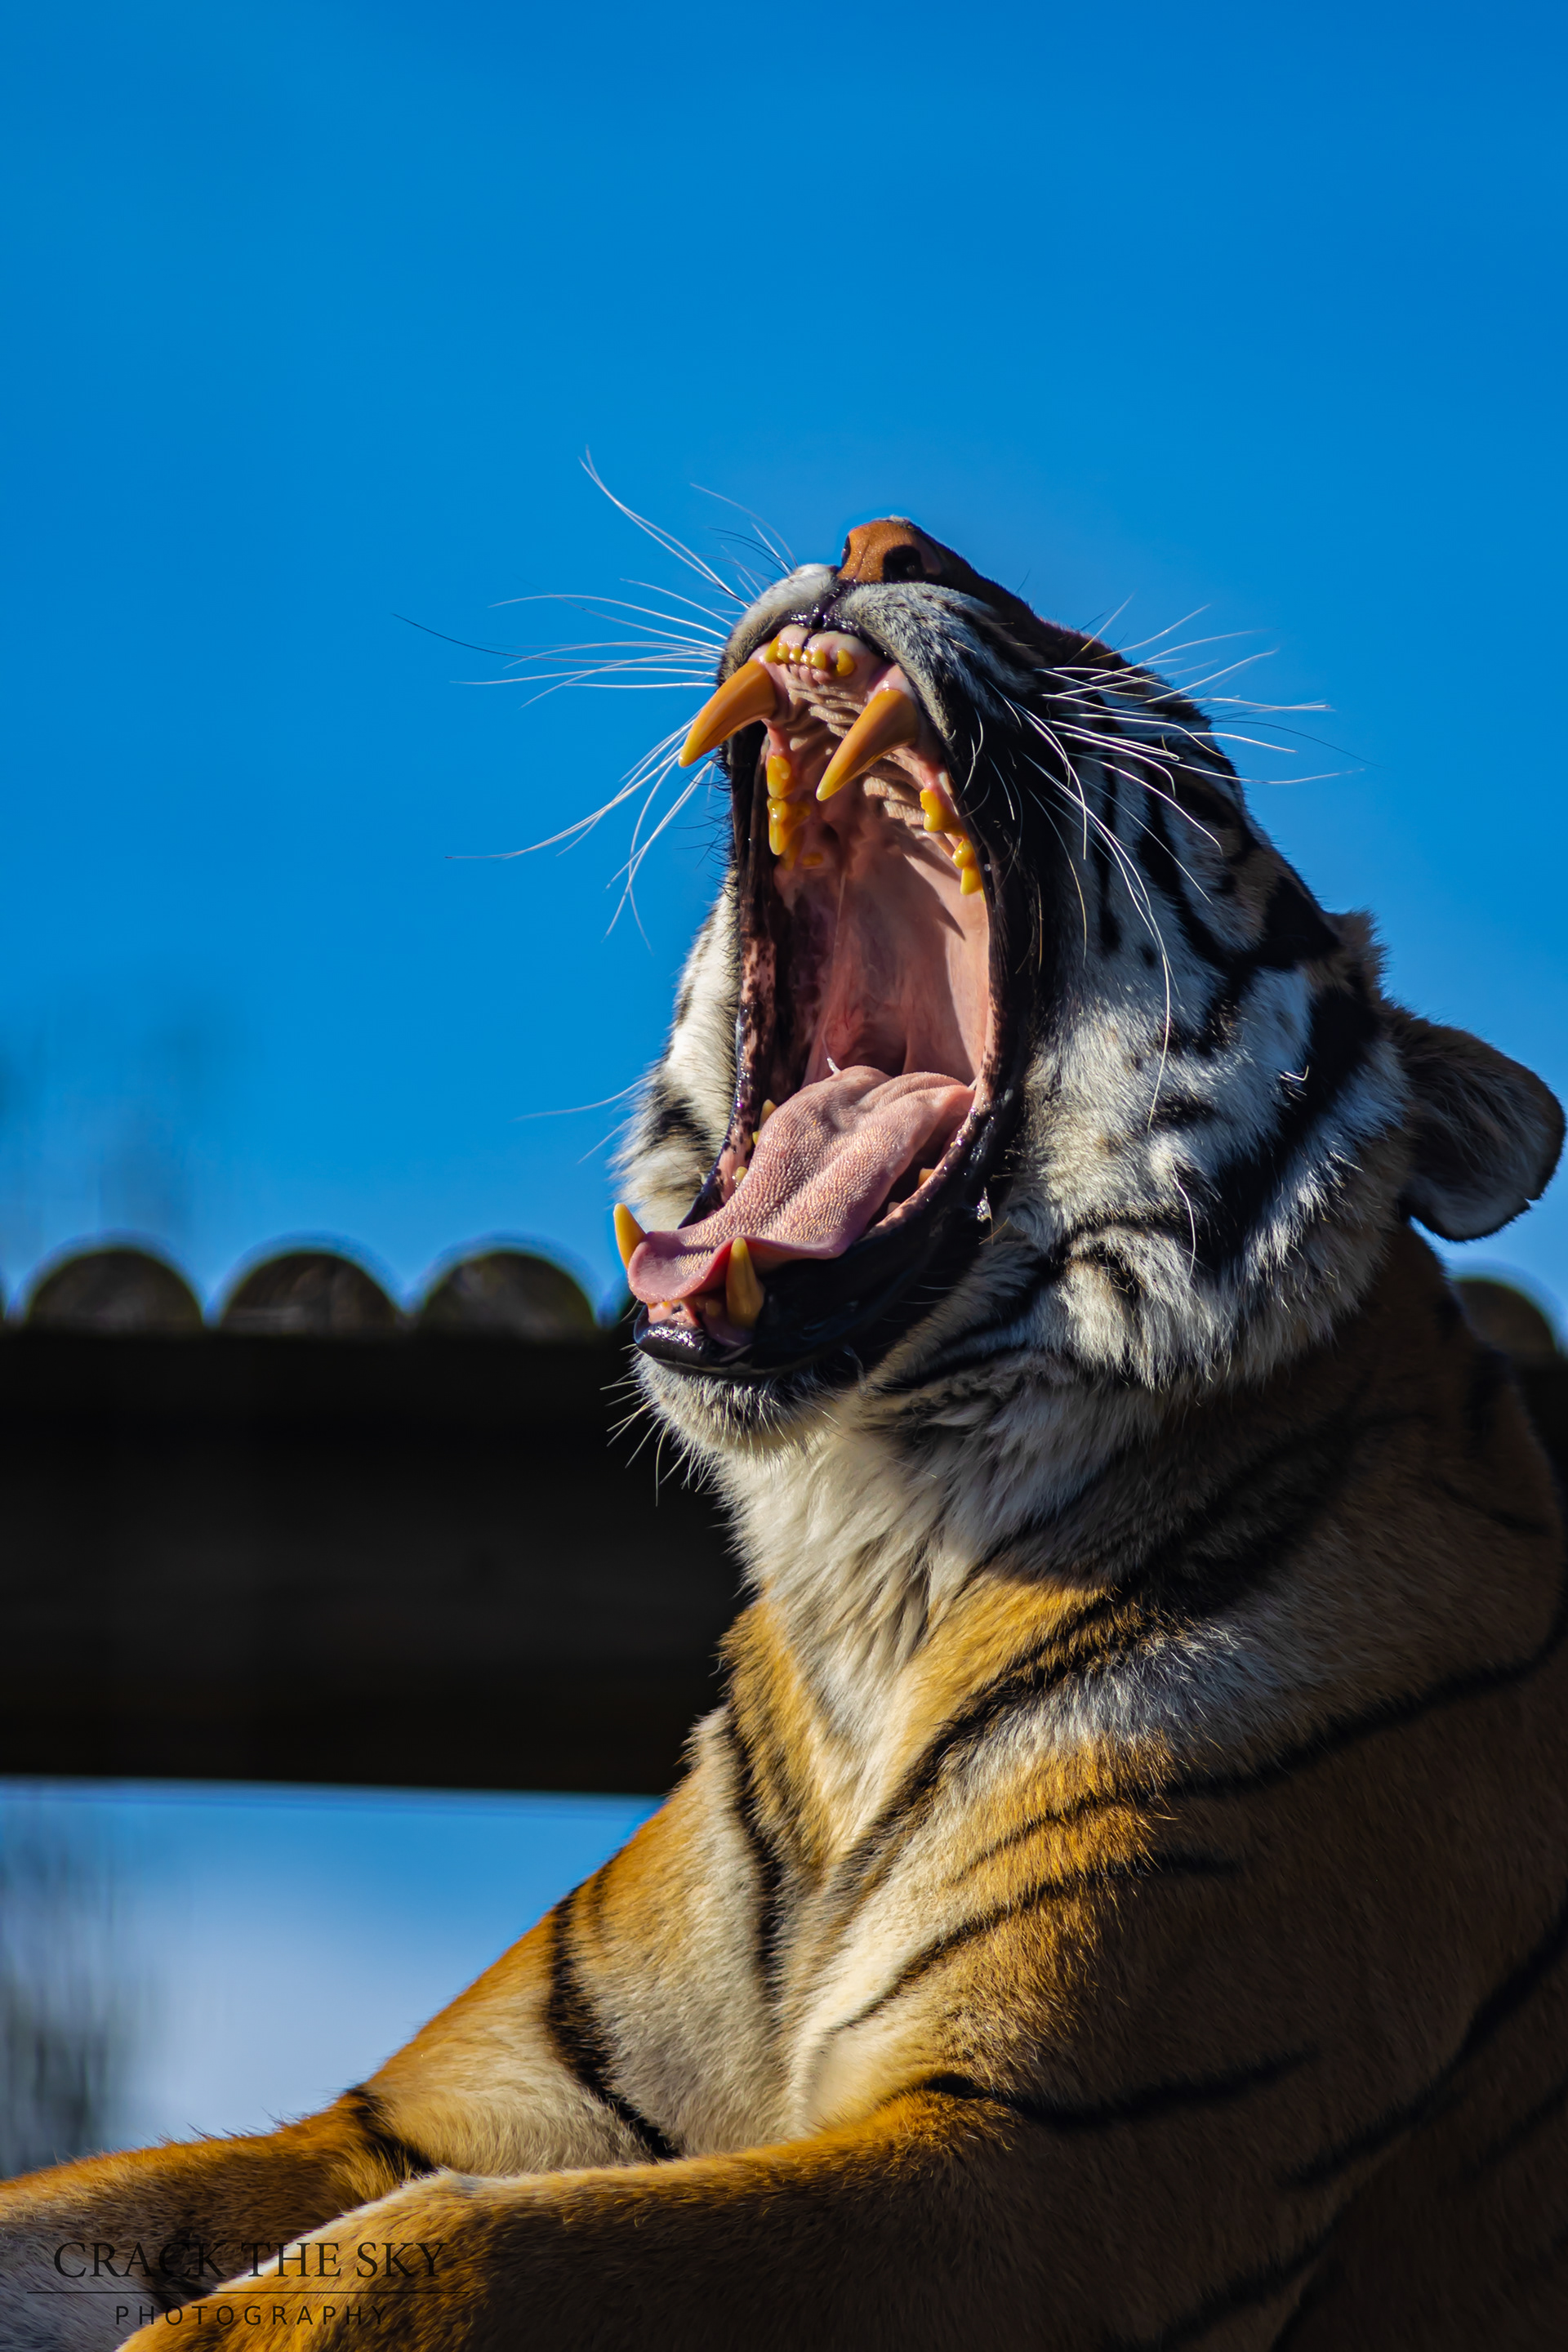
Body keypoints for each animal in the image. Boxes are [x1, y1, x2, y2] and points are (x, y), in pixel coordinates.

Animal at [3, 514, 1566, 2351]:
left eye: (1177, 739)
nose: (890, 538)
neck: (876, 1553)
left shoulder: (1045, 2172)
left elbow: (448, 2254)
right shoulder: (426, 2118)